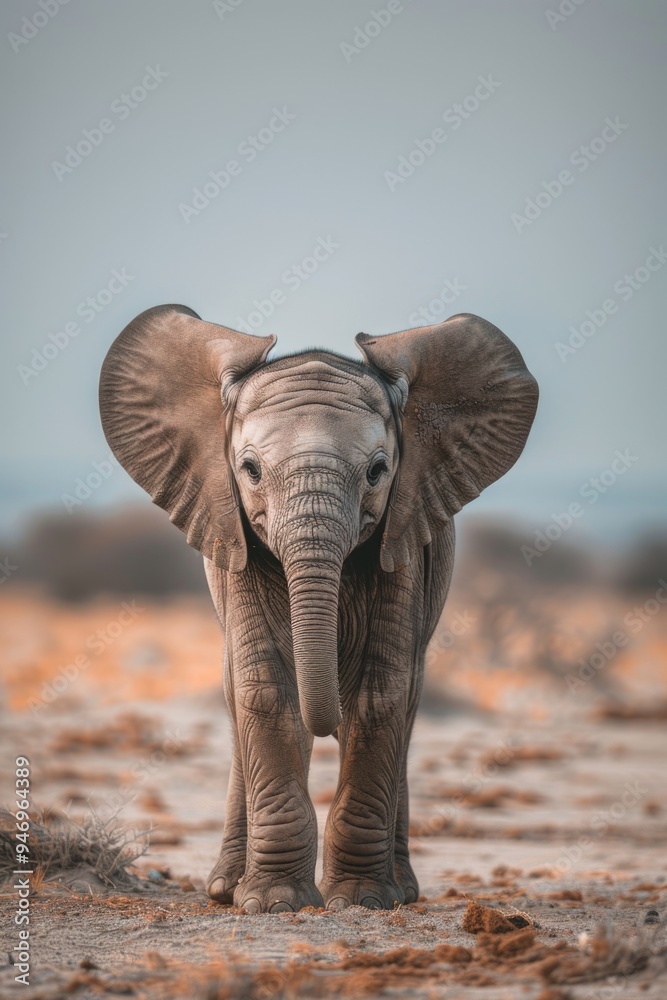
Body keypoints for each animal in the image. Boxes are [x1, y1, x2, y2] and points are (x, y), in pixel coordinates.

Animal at [98, 302, 536, 916]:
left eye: (378, 470)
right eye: (250, 470)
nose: (323, 720)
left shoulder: (405, 534)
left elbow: (381, 697)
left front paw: (361, 901)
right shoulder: (233, 536)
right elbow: (265, 693)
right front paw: (274, 903)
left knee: (408, 700)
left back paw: (402, 891)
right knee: (237, 693)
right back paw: (224, 889)